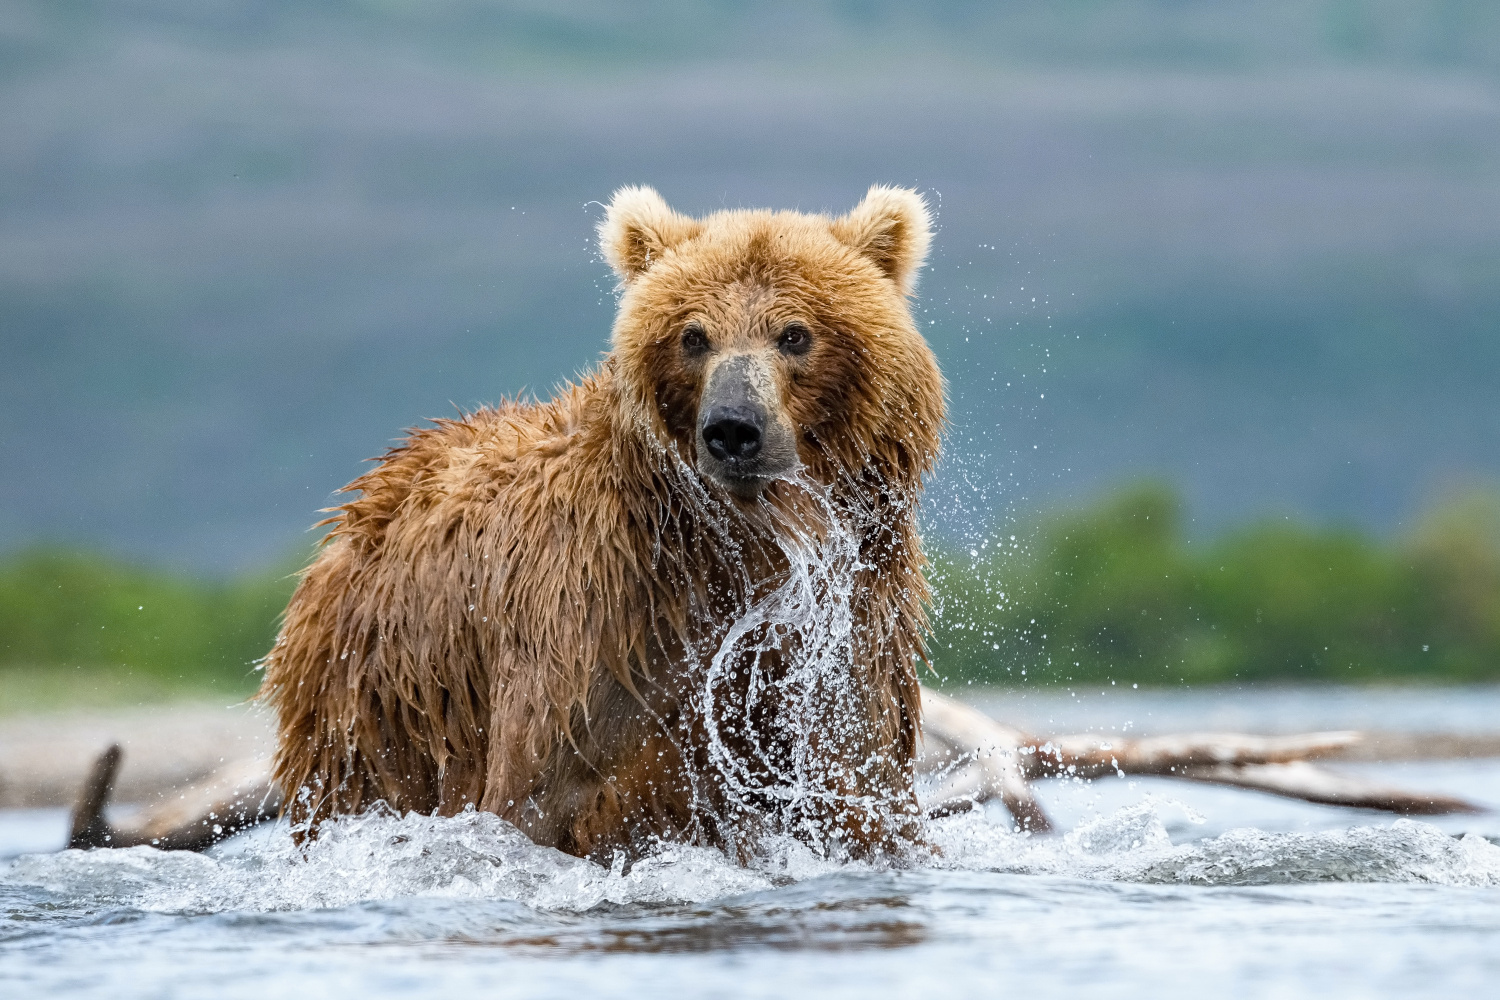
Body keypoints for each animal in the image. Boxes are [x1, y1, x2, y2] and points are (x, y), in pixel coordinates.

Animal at [256, 185, 936, 863]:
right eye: (693, 335)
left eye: (795, 334)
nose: (733, 428)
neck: (732, 550)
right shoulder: (599, 621)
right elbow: (544, 793)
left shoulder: (847, 635)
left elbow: (858, 784)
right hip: (373, 702)